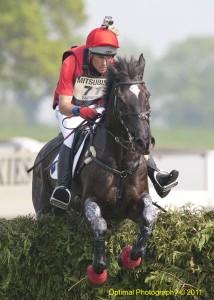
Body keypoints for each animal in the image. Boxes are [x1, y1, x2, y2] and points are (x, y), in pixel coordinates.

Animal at [32, 54, 158, 286]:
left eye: (147, 95)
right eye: (121, 99)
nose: (143, 142)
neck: (121, 162)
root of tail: (43, 151)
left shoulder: (135, 203)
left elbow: (149, 217)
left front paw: (130, 257)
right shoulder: (90, 201)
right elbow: (99, 225)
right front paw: (97, 271)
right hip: (44, 210)